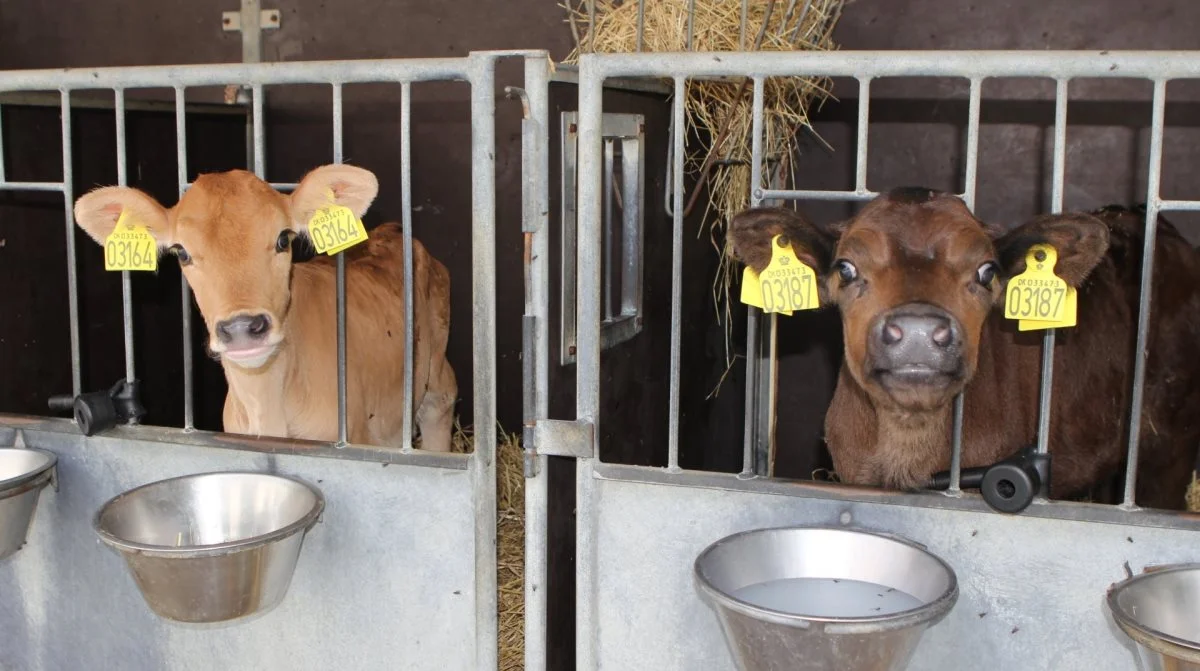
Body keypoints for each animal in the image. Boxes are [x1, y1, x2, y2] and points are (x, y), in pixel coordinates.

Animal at [73, 165, 458, 453]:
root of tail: (389, 231)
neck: (268, 404)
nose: (243, 327)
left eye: (283, 238)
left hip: (436, 373)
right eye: (182, 252)